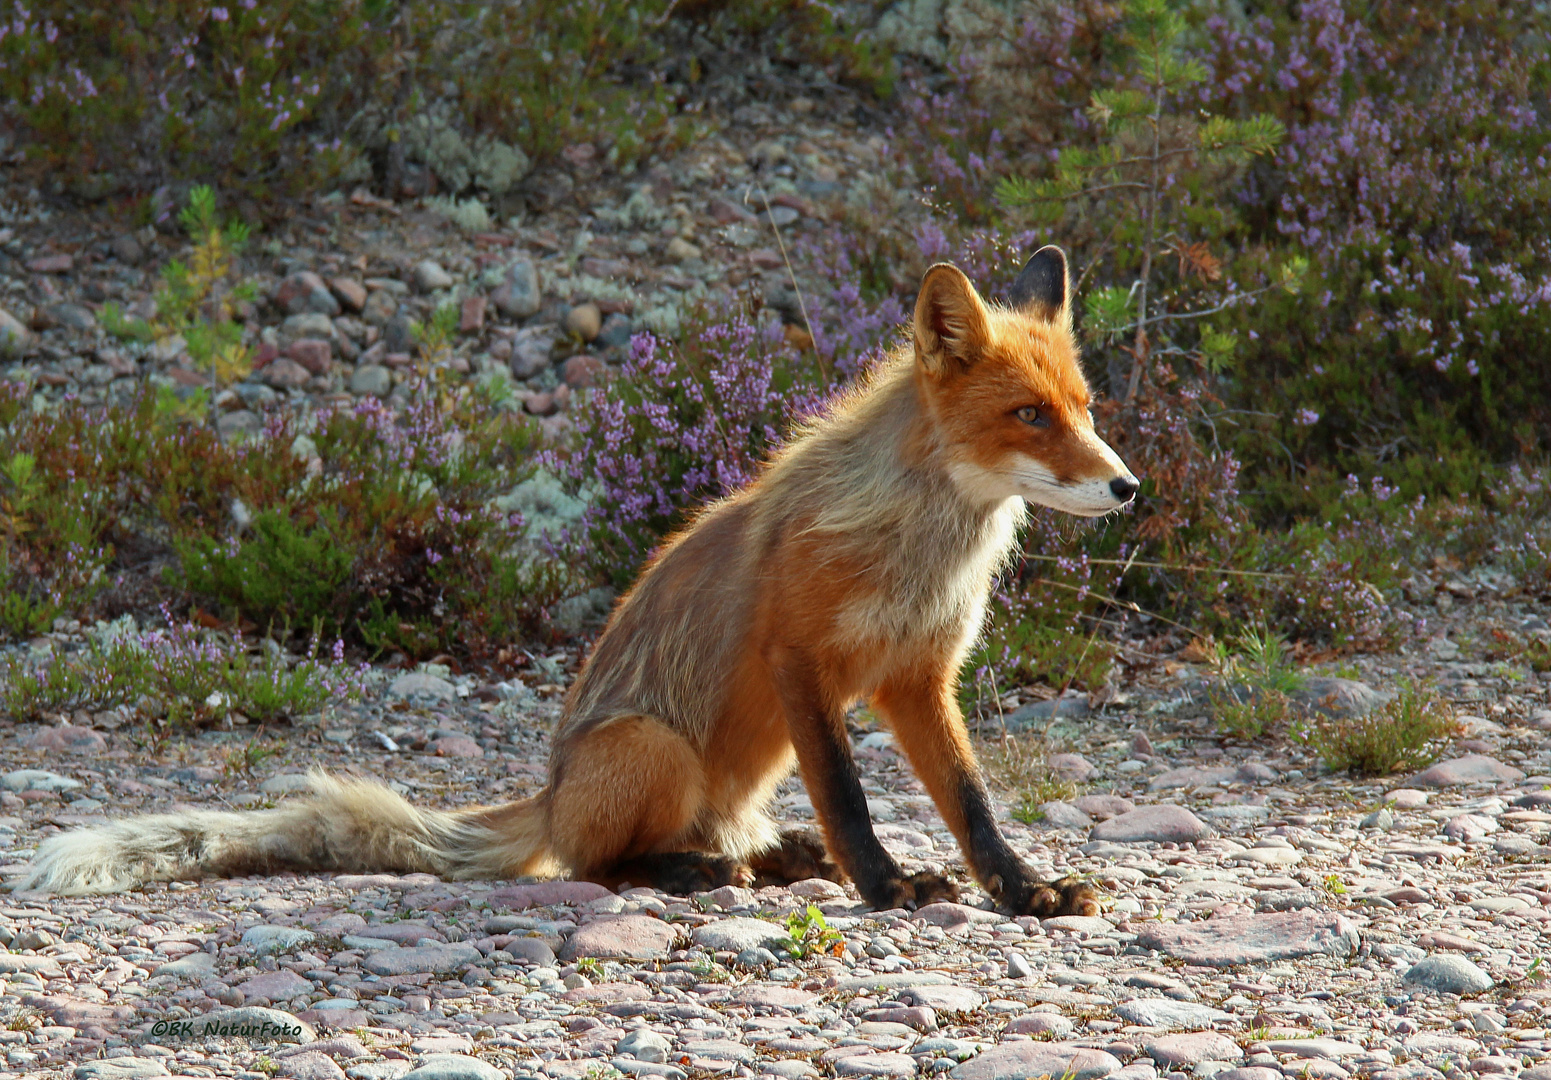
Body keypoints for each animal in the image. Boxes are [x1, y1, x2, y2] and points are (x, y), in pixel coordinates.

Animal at [18, 246, 1141, 912]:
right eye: (1028, 417)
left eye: (1086, 408)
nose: (1128, 486)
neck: (919, 551)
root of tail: (550, 794)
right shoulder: (800, 661)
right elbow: (852, 797)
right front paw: (884, 885)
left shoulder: (918, 680)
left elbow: (973, 804)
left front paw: (1023, 891)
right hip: (653, 748)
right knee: (590, 861)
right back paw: (694, 870)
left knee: (726, 835)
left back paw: (770, 856)